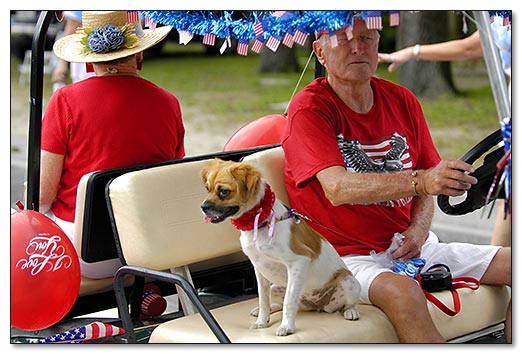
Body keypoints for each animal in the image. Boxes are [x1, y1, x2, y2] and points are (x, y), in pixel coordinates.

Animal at [199, 159, 358, 336]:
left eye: (224, 192)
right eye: (207, 188)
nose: (203, 207)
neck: (261, 221)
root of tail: (316, 306)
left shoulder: (299, 261)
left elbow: (289, 300)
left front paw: (287, 327)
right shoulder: (259, 268)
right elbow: (263, 299)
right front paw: (261, 322)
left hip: (349, 281)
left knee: (346, 304)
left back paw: (350, 311)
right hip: (275, 288)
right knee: (279, 303)